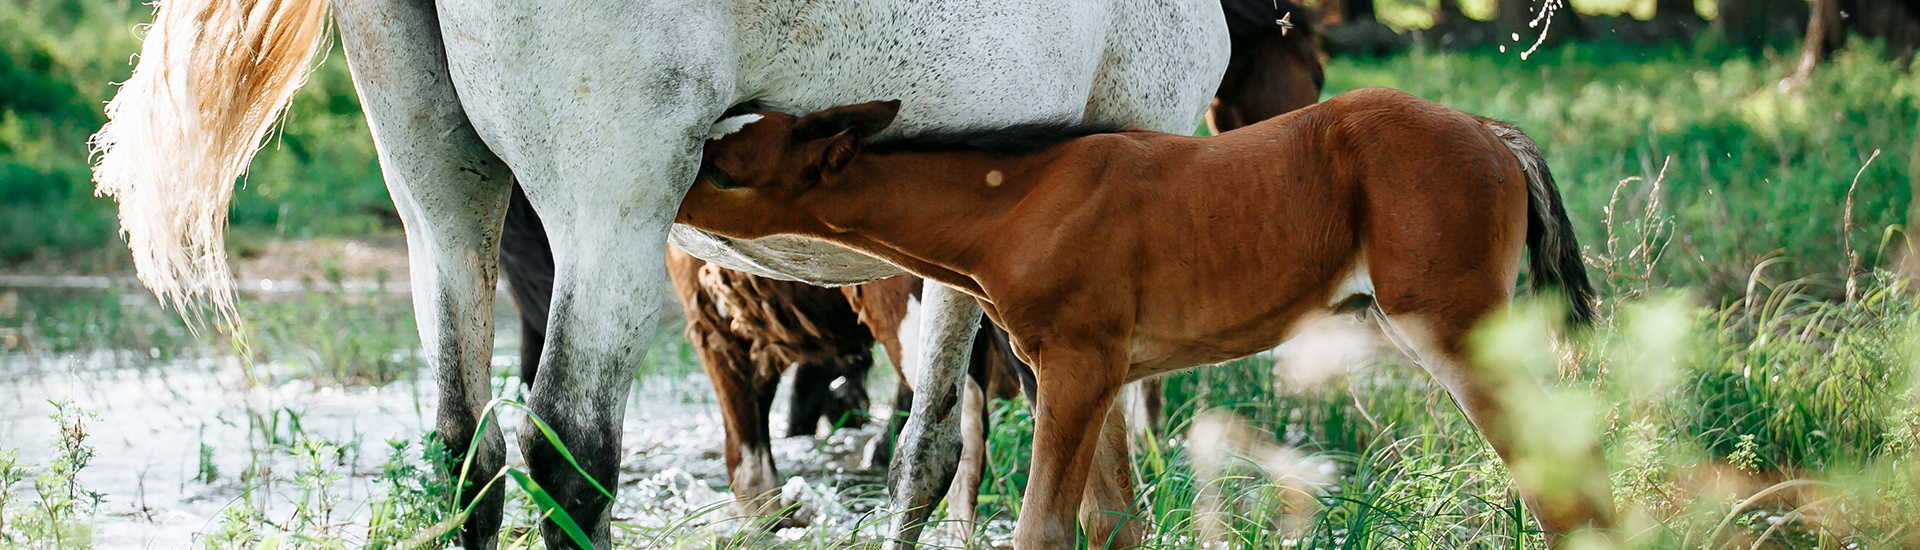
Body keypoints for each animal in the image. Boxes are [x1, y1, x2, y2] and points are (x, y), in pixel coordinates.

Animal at [86, 0, 1228, 546]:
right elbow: (984, 454)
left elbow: (941, 449)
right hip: (614, 217)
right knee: (570, 455)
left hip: (442, 204)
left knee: (468, 449)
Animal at [683, 87, 1612, 546]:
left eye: (727, 168)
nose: (669, 205)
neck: (1012, 203)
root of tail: (1492, 131)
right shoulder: (1090, 375)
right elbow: (1115, 521)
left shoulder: (1076, 369)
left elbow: (1045, 529)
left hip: (1451, 331)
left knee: (1558, 474)